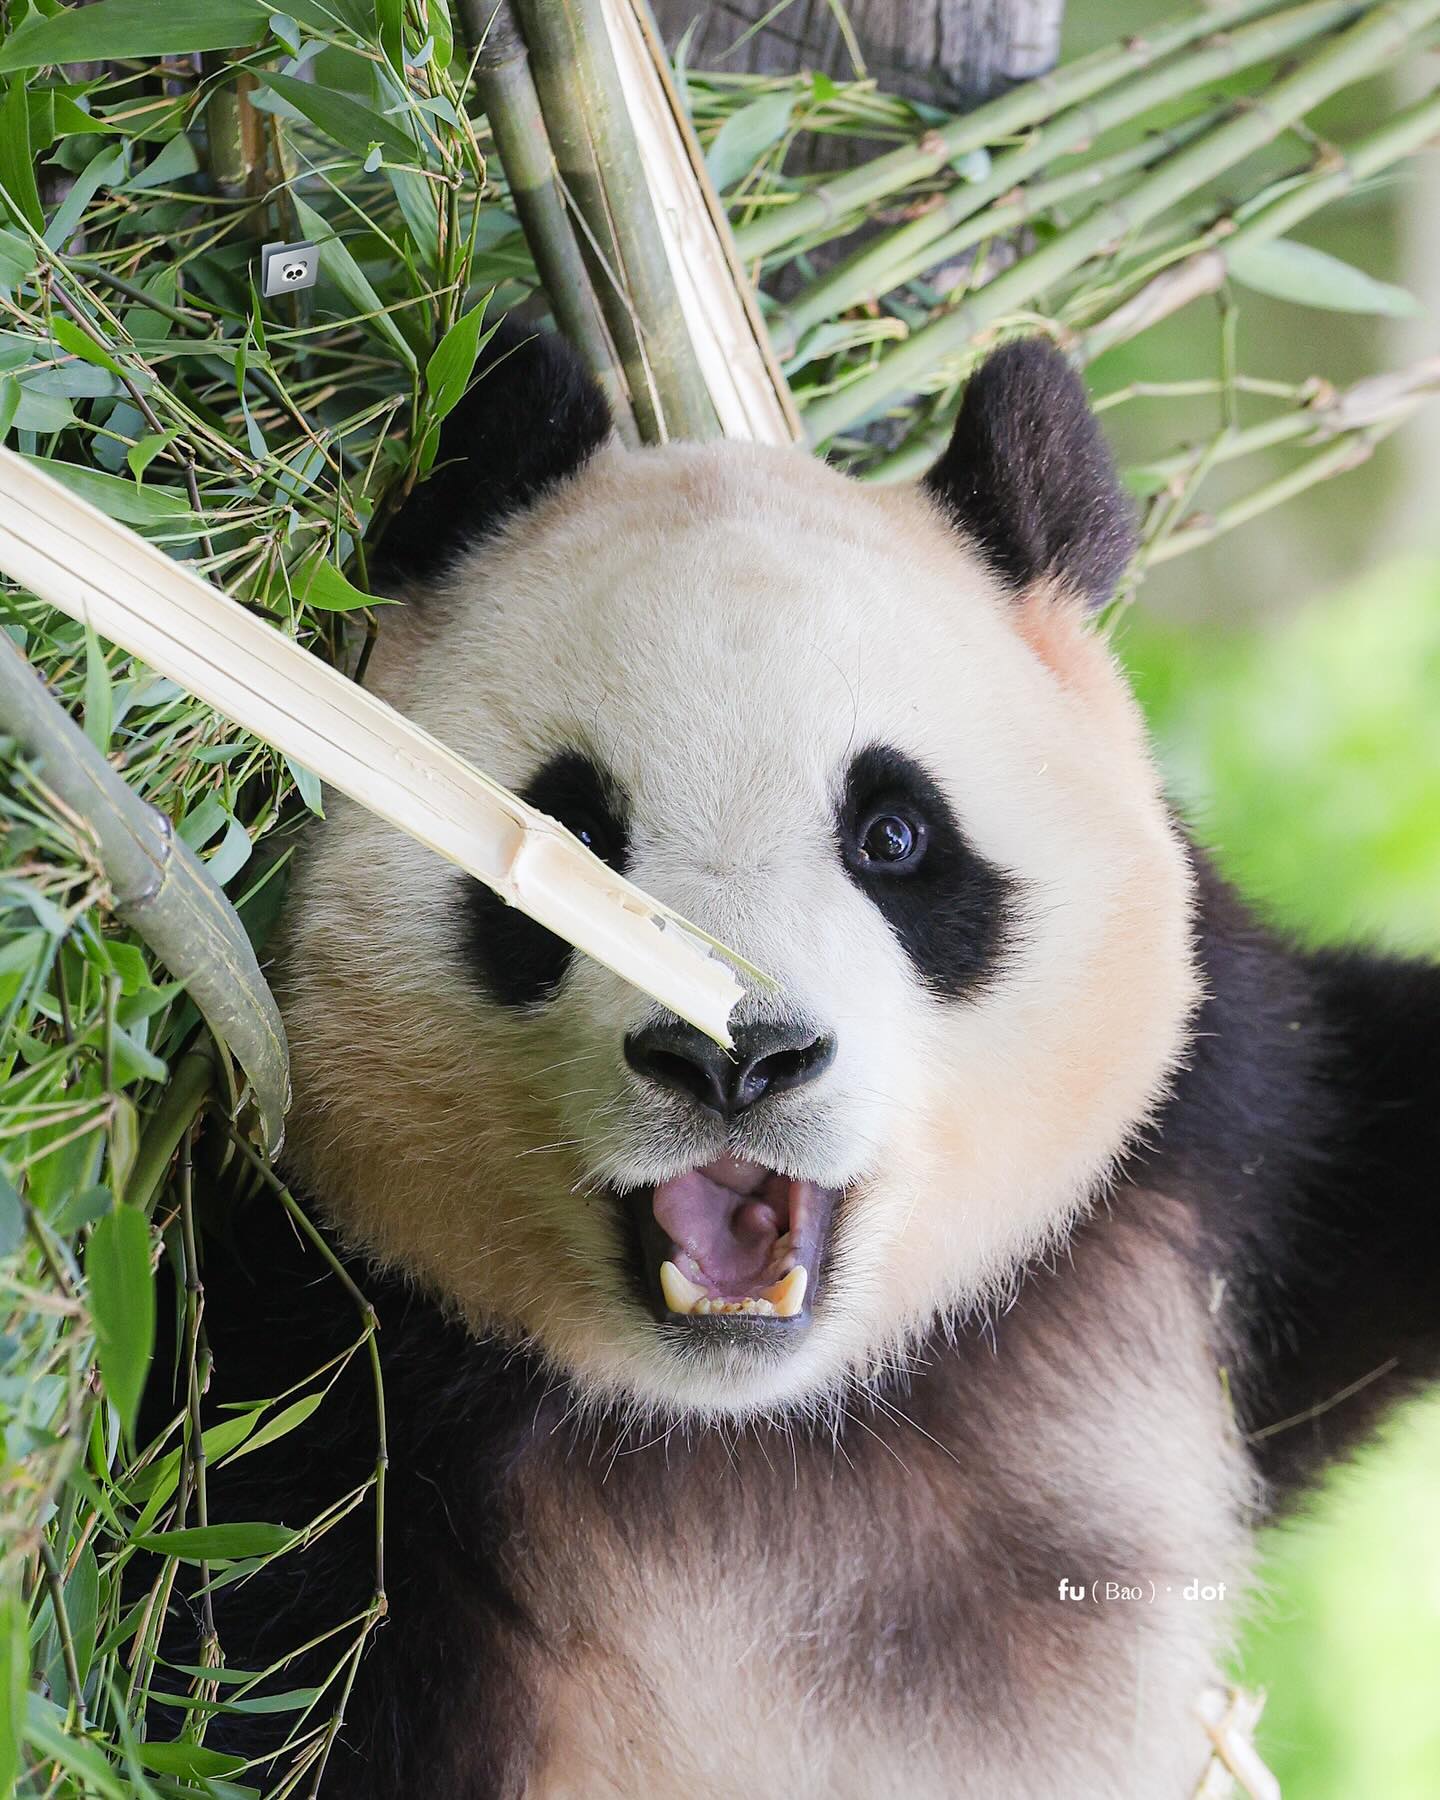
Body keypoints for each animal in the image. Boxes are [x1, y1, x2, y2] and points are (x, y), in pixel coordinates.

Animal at [185, 327, 1440, 1800]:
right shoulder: (322, 1394)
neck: (759, 1421)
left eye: (893, 835)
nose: (734, 1056)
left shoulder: (1224, 1177)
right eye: (575, 837)